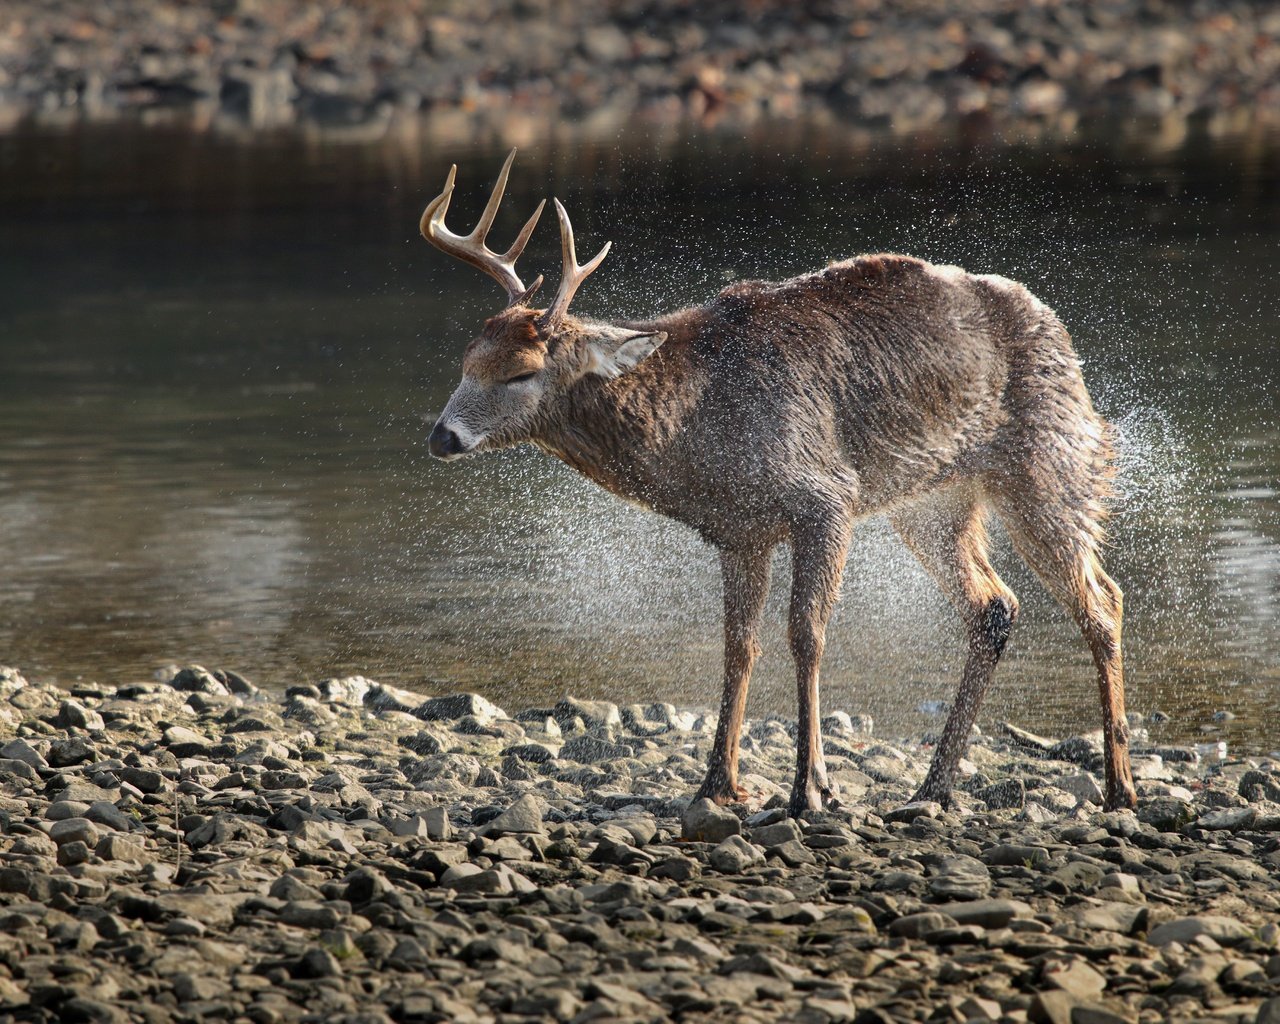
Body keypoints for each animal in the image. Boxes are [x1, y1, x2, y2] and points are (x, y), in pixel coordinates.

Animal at [419, 149, 1141, 814]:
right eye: (466, 359)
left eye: (522, 371)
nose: (442, 436)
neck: (699, 435)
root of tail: (1057, 328)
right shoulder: (739, 531)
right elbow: (740, 645)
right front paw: (717, 783)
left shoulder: (826, 495)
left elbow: (806, 634)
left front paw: (810, 787)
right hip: (933, 502)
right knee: (995, 604)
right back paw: (931, 788)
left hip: (1048, 461)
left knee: (1102, 598)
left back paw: (1119, 786)